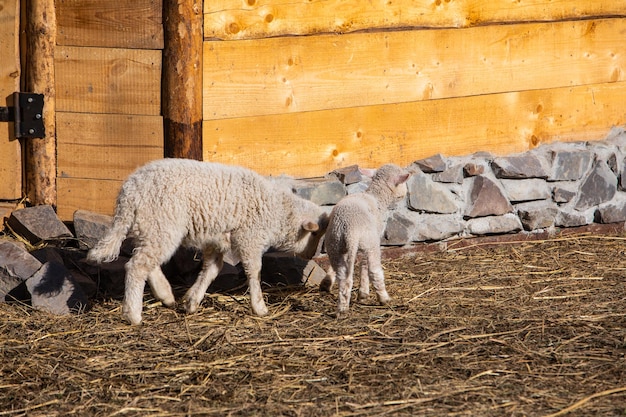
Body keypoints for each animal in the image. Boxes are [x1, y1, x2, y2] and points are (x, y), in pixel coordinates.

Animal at [89, 158, 332, 324]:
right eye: (315, 234)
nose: (311, 256)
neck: (279, 211)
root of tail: (129, 192)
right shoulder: (250, 237)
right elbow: (254, 271)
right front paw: (260, 307)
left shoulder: (216, 241)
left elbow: (211, 270)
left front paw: (192, 301)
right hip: (162, 223)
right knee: (137, 266)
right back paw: (133, 314)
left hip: (152, 227)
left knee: (146, 261)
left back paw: (166, 295)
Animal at [316, 162, 410, 316]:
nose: (406, 193)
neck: (376, 197)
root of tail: (349, 229)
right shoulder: (372, 240)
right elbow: (365, 265)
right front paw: (363, 293)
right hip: (369, 242)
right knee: (374, 271)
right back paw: (384, 299)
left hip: (334, 243)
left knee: (342, 275)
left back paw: (342, 308)